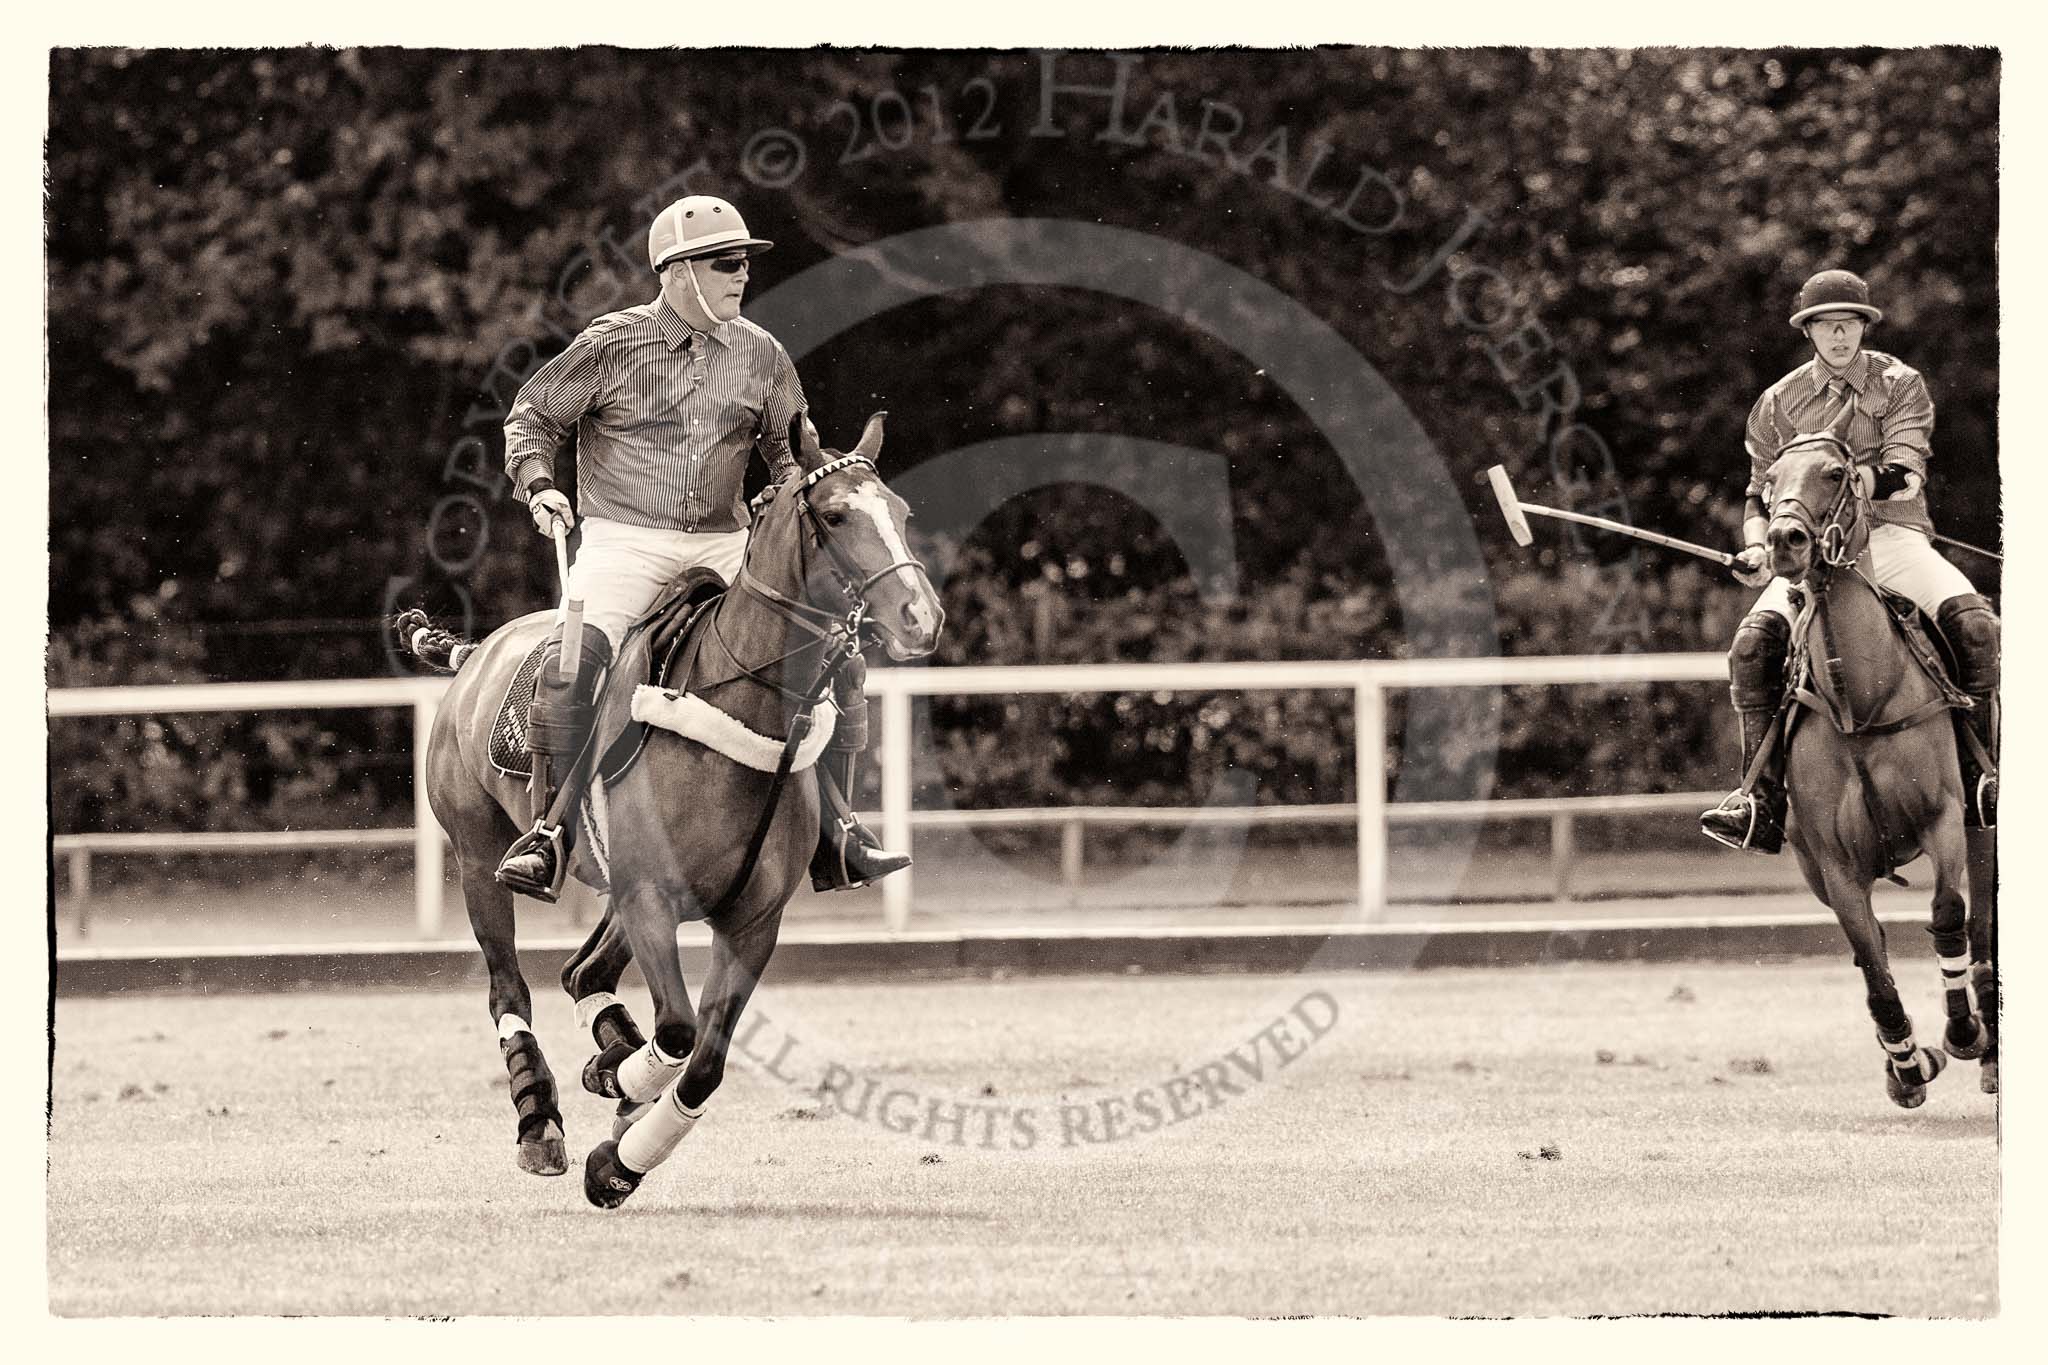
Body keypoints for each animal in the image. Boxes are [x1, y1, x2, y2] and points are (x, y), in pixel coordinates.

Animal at [399, 413, 942, 1203]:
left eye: (900, 512)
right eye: (837, 515)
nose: (921, 618)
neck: (741, 708)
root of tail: (477, 652)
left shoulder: (751, 921)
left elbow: (706, 1061)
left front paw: (619, 1154)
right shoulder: (652, 897)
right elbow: (681, 1032)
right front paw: (615, 1102)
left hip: (614, 886)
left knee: (583, 974)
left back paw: (611, 1068)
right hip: (479, 857)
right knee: (510, 989)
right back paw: (541, 1122)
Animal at [1761, 437, 1998, 1113]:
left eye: (1836, 472)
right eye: (1770, 479)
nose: (1784, 540)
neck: (1860, 701)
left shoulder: (1942, 819)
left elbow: (1946, 915)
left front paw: (1961, 1033)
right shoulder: (1833, 864)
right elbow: (1870, 959)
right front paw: (1909, 1062)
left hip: (1984, 826)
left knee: (1981, 927)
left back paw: (1990, 1051)